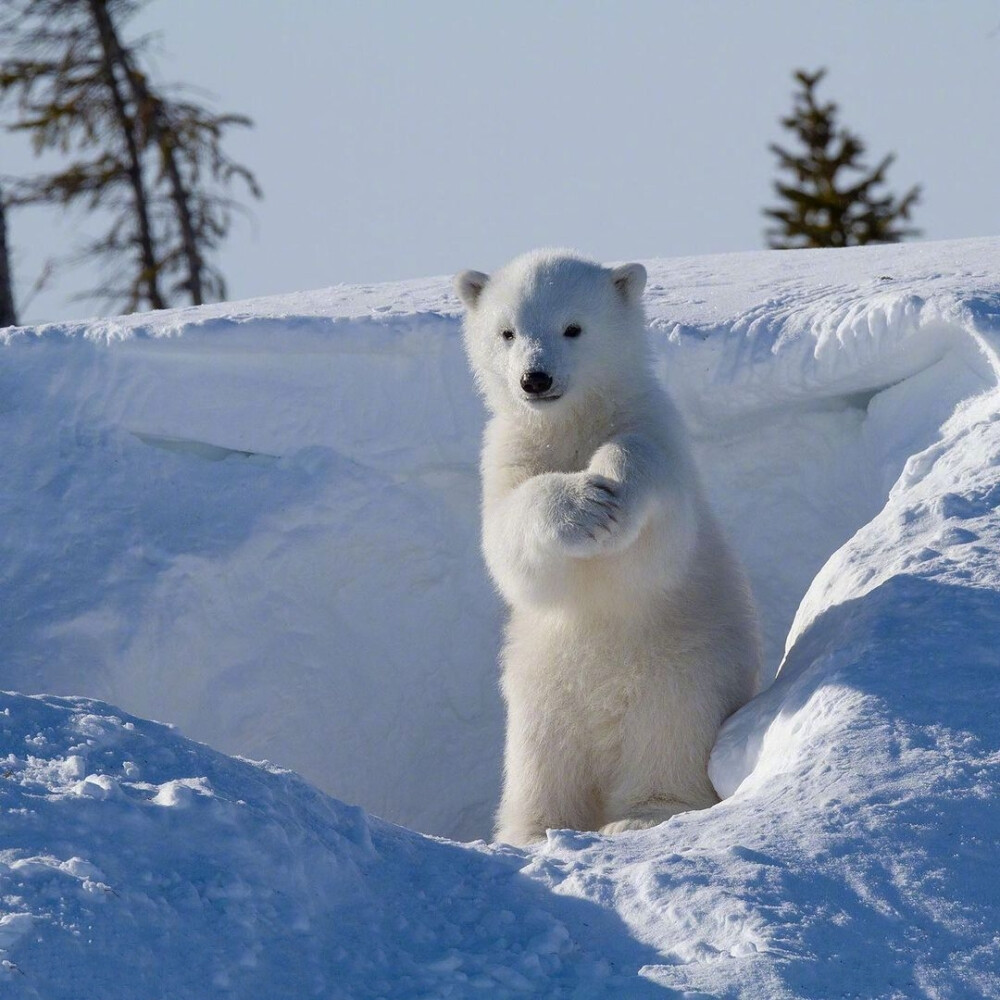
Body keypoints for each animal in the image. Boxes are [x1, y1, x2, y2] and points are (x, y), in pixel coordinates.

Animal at [458, 250, 760, 844]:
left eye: (574, 327)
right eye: (507, 331)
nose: (535, 378)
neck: (572, 422)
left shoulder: (655, 428)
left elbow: (659, 533)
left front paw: (610, 490)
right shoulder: (509, 452)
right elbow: (509, 543)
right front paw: (582, 505)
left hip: (684, 673)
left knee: (667, 742)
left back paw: (642, 813)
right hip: (542, 687)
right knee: (541, 763)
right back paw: (534, 830)